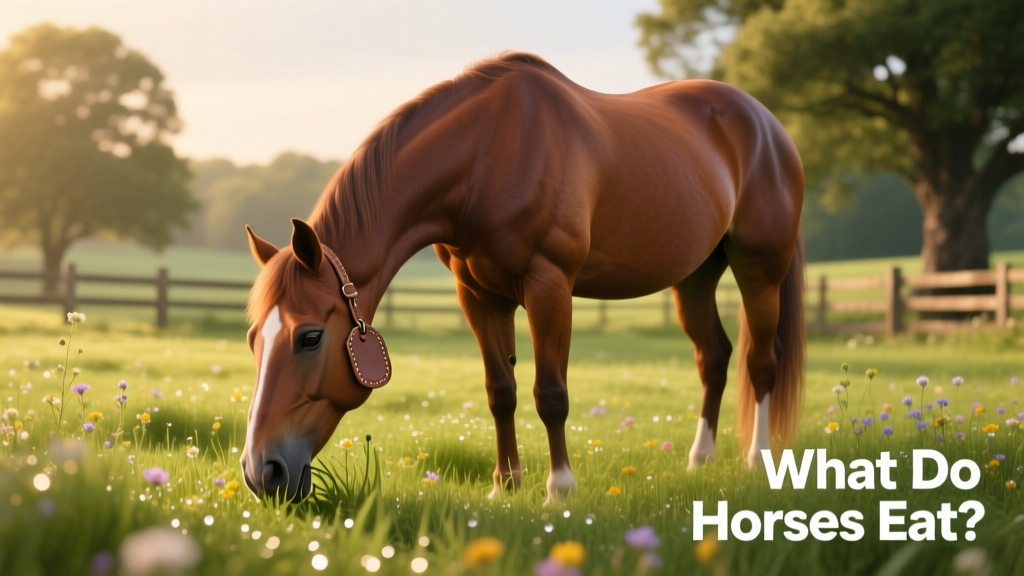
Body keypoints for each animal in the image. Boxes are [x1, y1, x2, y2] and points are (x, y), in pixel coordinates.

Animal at [240, 52, 805, 504]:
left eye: (310, 337)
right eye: (252, 339)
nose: (261, 472)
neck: (486, 155)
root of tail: (768, 125)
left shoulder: (549, 286)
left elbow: (550, 393)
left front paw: (559, 488)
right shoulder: (479, 296)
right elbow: (501, 391)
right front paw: (505, 484)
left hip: (760, 268)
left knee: (761, 361)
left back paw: (756, 461)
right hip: (694, 277)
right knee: (714, 356)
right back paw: (699, 459)